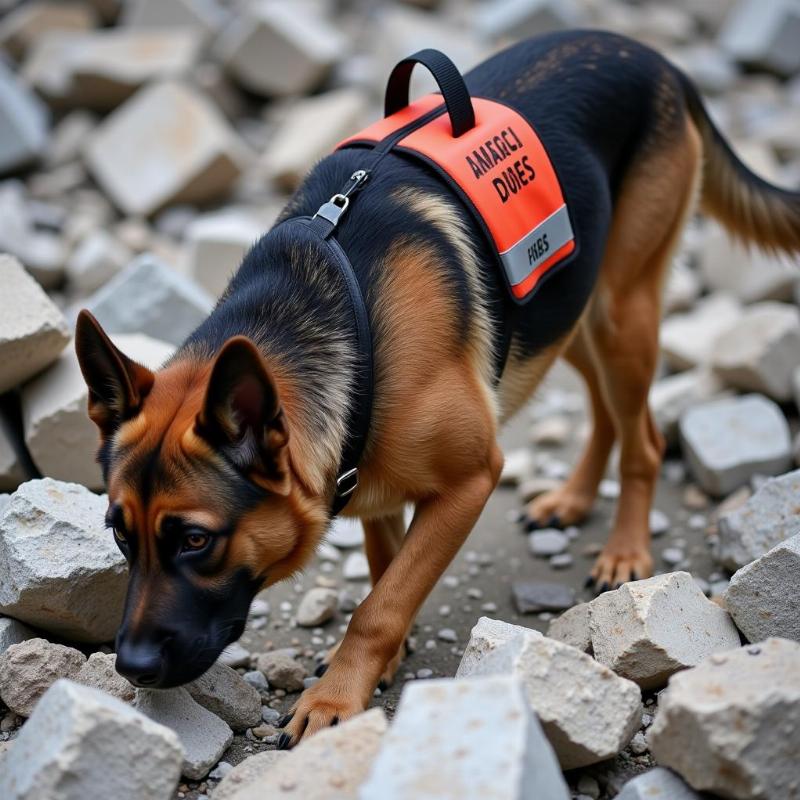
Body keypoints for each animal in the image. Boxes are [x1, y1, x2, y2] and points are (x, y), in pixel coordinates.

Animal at [76, 31, 800, 744]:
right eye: (119, 534)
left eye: (196, 541)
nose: (130, 666)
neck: (331, 309)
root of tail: (650, 54)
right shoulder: (365, 477)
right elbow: (384, 568)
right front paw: (386, 655)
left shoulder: (471, 481)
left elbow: (378, 604)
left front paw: (335, 698)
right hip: (562, 311)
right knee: (605, 409)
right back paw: (572, 498)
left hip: (619, 311)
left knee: (643, 437)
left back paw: (625, 549)